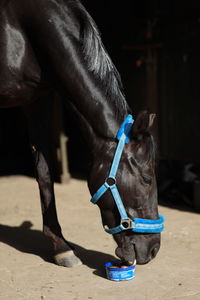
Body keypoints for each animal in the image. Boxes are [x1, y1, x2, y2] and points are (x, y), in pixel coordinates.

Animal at [0, 0, 164, 268]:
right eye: (147, 178)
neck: (21, 28)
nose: (153, 250)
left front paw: (61, 246)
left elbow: (45, 175)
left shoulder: (38, 100)